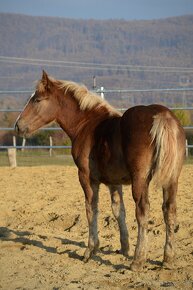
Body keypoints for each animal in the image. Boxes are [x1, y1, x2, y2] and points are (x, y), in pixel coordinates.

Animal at [15, 71, 185, 270]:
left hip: (140, 179)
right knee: (169, 210)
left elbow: (91, 209)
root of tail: (163, 116)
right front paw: (124, 248)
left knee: (143, 211)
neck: (86, 124)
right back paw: (168, 258)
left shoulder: (86, 177)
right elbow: (118, 211)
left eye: (37, 100)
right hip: (171, 179)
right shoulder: (114, 182)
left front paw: (90, 250)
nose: (18, 126)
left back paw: (138, 260)